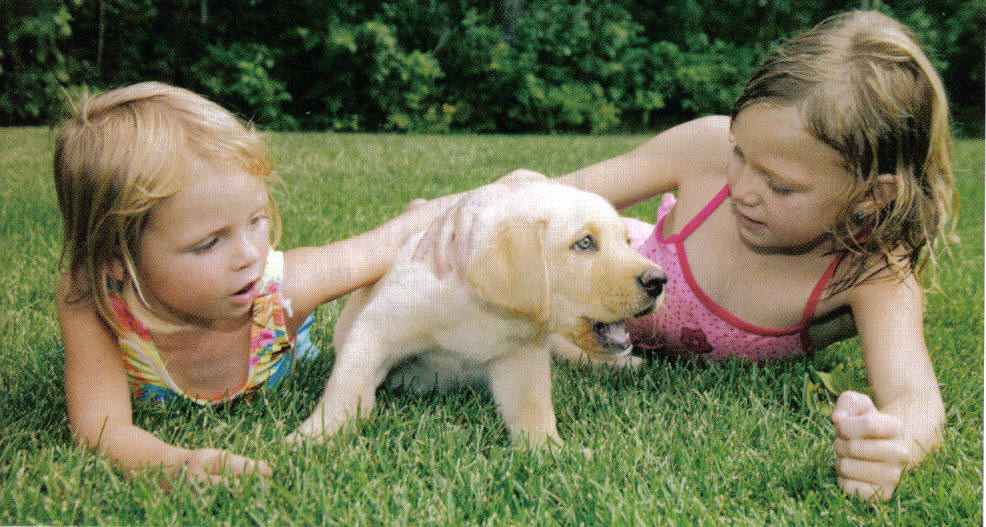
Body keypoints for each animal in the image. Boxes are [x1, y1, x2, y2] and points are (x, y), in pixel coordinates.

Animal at [288, 175, 664, 448]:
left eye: (628, 242)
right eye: (584, 243)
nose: (660, 281)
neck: (486, 311)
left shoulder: (521, 359)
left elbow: (533, 409)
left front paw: (550, 451)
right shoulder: (378, 325)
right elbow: (347, 385)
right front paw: (314, 435)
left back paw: (626, 364)